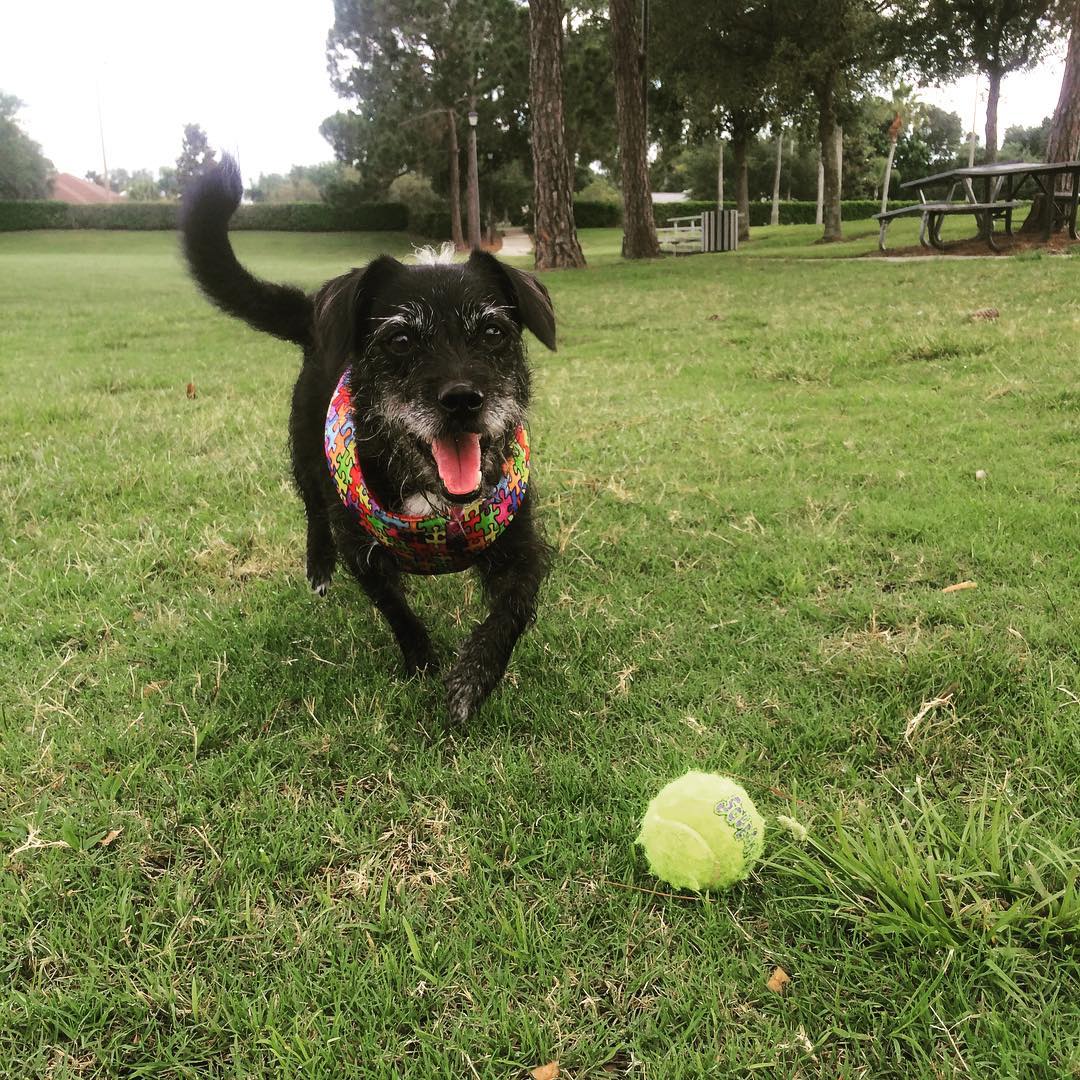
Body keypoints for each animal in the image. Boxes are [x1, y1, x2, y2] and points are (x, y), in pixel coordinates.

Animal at [180, 156, 552, 721]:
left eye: (493, 333)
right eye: (399, 340)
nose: (464, 399)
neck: (435, 506)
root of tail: (316, 316)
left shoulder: (522, 546)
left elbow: (513, 607)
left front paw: (474, 677)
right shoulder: (362, 552)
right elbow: (395, 608)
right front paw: (422, 661)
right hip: (305, 458)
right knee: (313, 511)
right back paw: (318, 568)